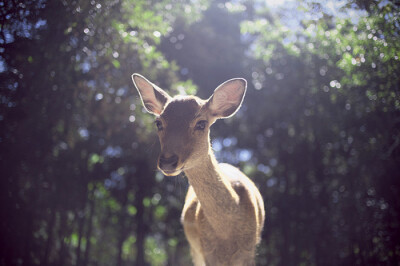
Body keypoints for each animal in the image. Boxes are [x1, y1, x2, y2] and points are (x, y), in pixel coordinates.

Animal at [132, 73, 266, 266]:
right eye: (158, 123)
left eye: (201, 123)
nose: (167, 161)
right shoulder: (207, 252)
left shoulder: (248, 252)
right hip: (195, 251)